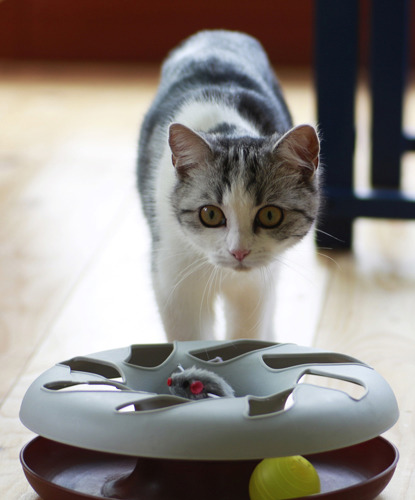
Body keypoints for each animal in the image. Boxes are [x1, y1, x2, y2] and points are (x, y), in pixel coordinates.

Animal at [138, 31, 320, 342]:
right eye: (210, 214)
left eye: (270, 215)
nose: (239, 252)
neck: (228, 129)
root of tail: (218, 32)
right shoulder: (174, 282)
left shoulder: (256, 287)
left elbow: (245, 336)